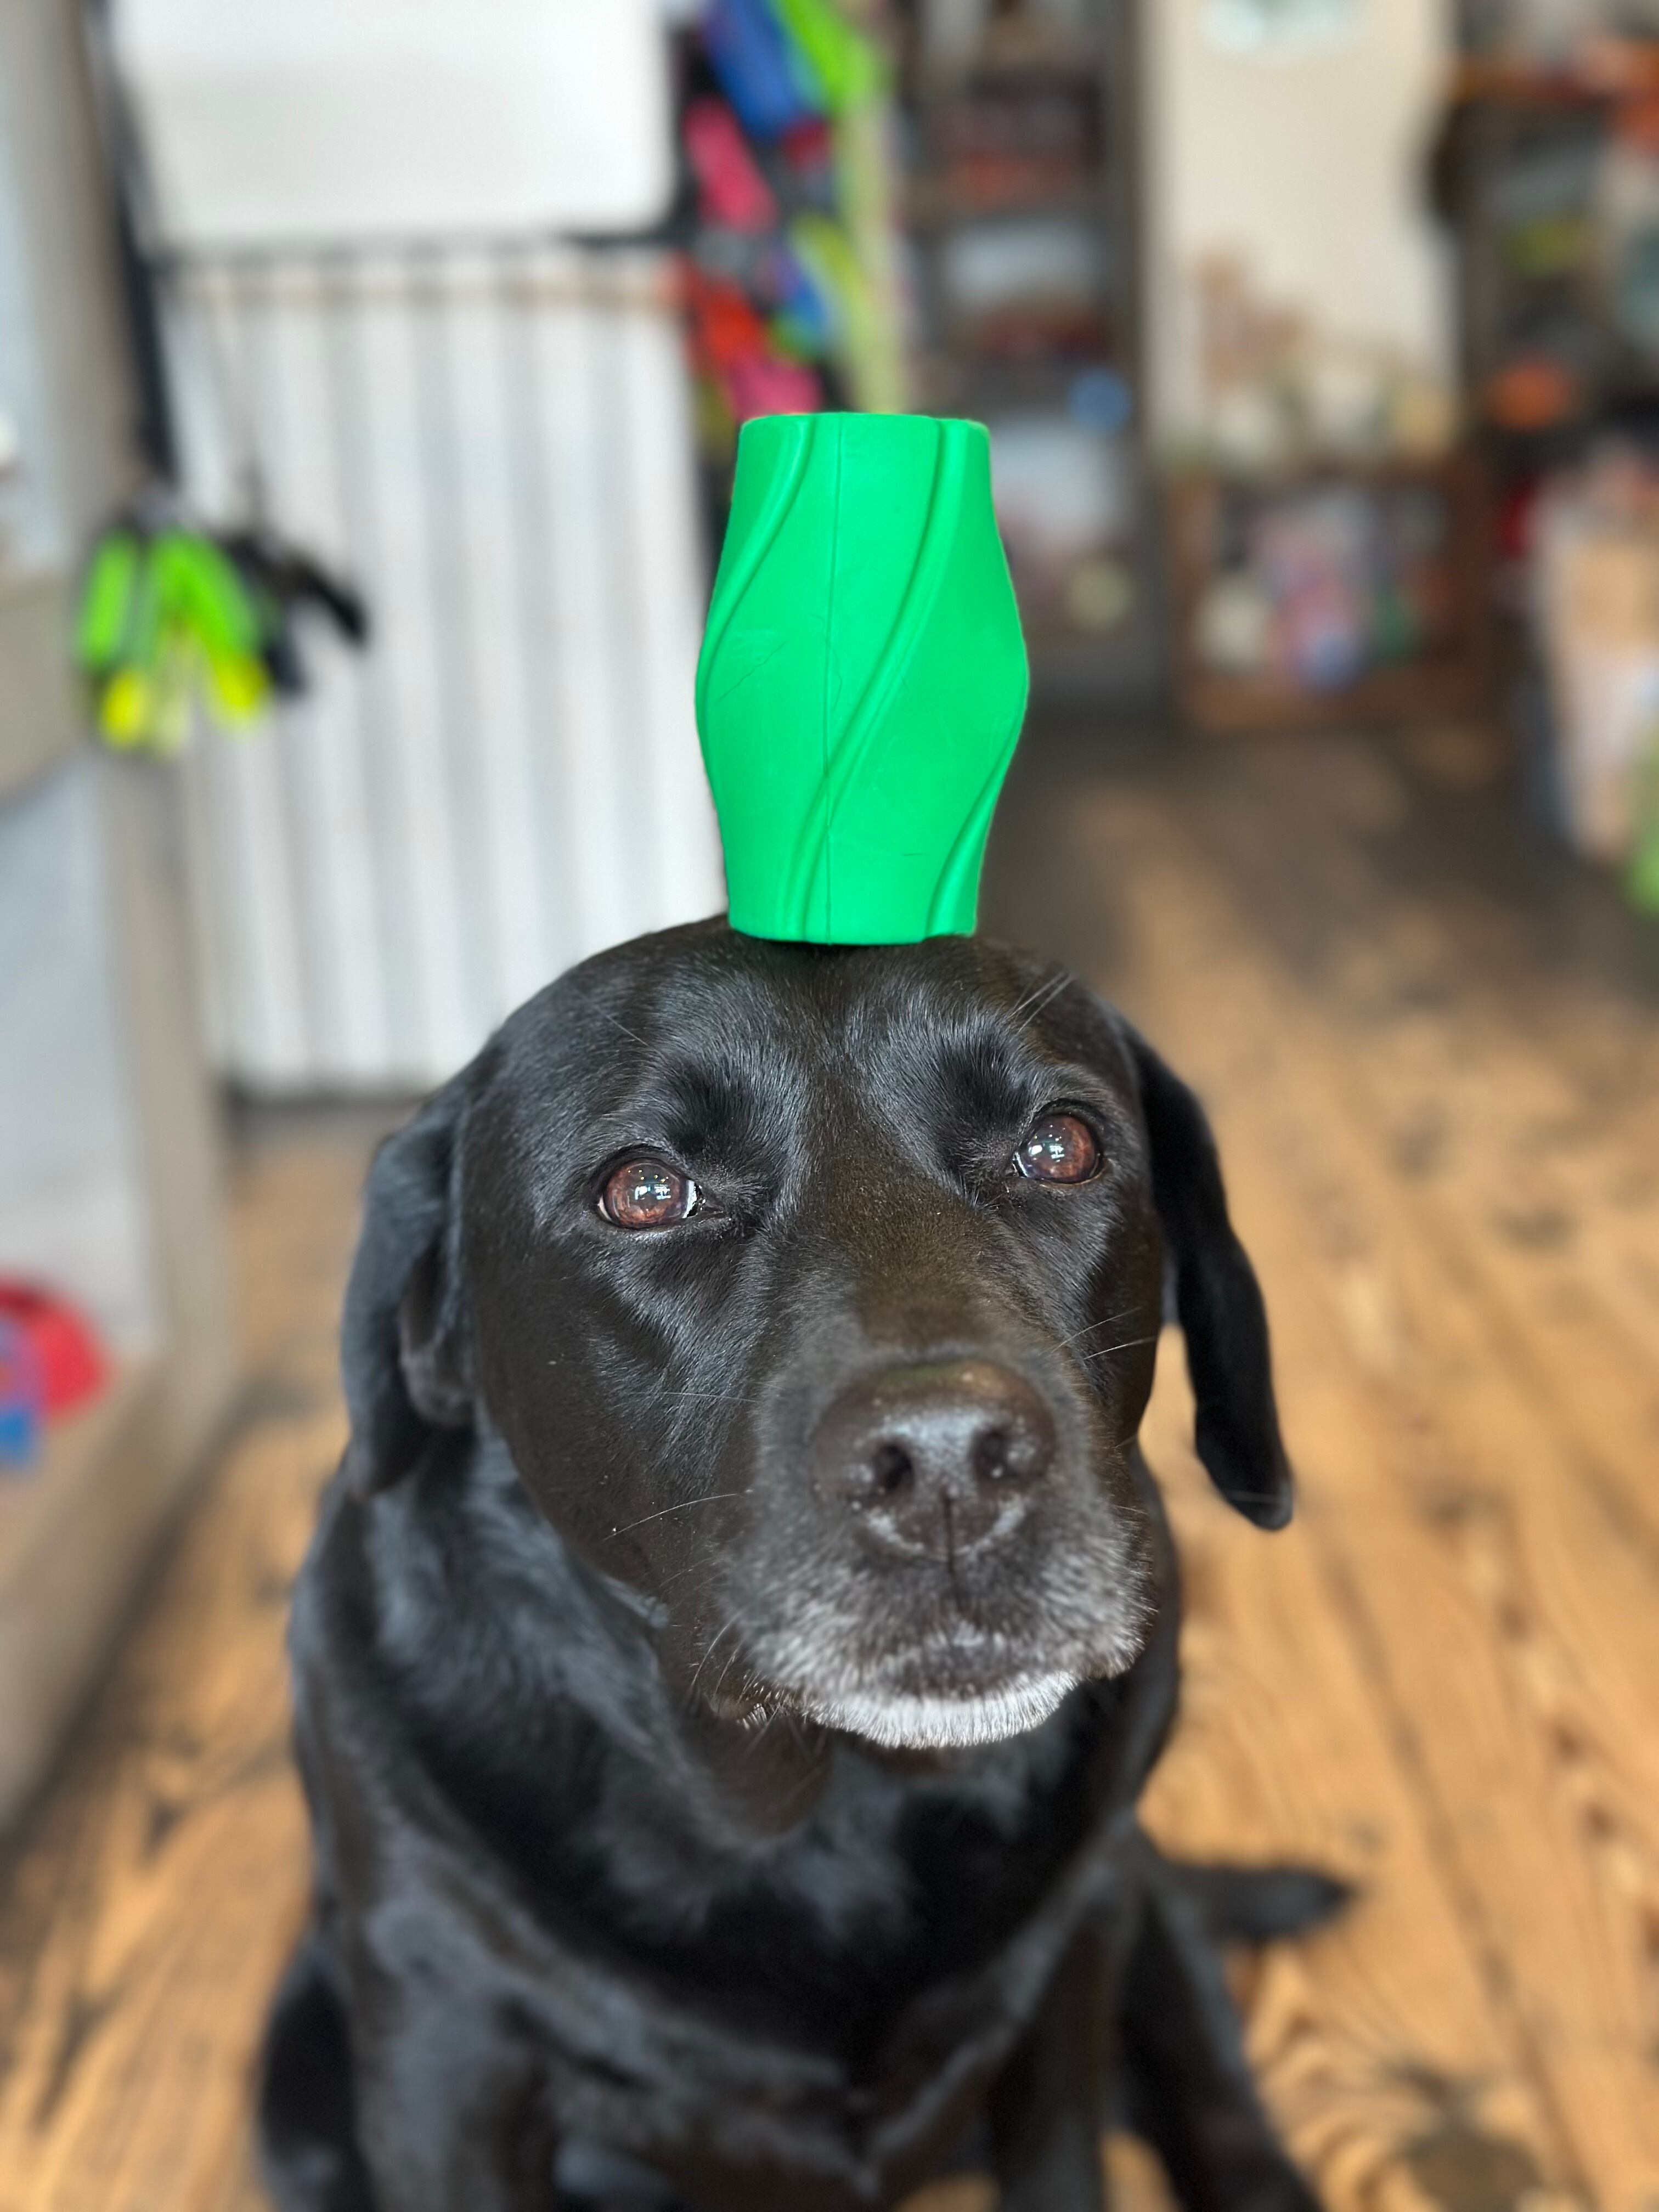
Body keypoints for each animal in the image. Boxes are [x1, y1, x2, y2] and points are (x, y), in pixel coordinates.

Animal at [258, 918, 1344, 2212]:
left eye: (1060, 1145)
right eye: (644, 1191)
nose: (948, 1464)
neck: (834, 1805)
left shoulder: (1077, 1952)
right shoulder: (448, 2056)